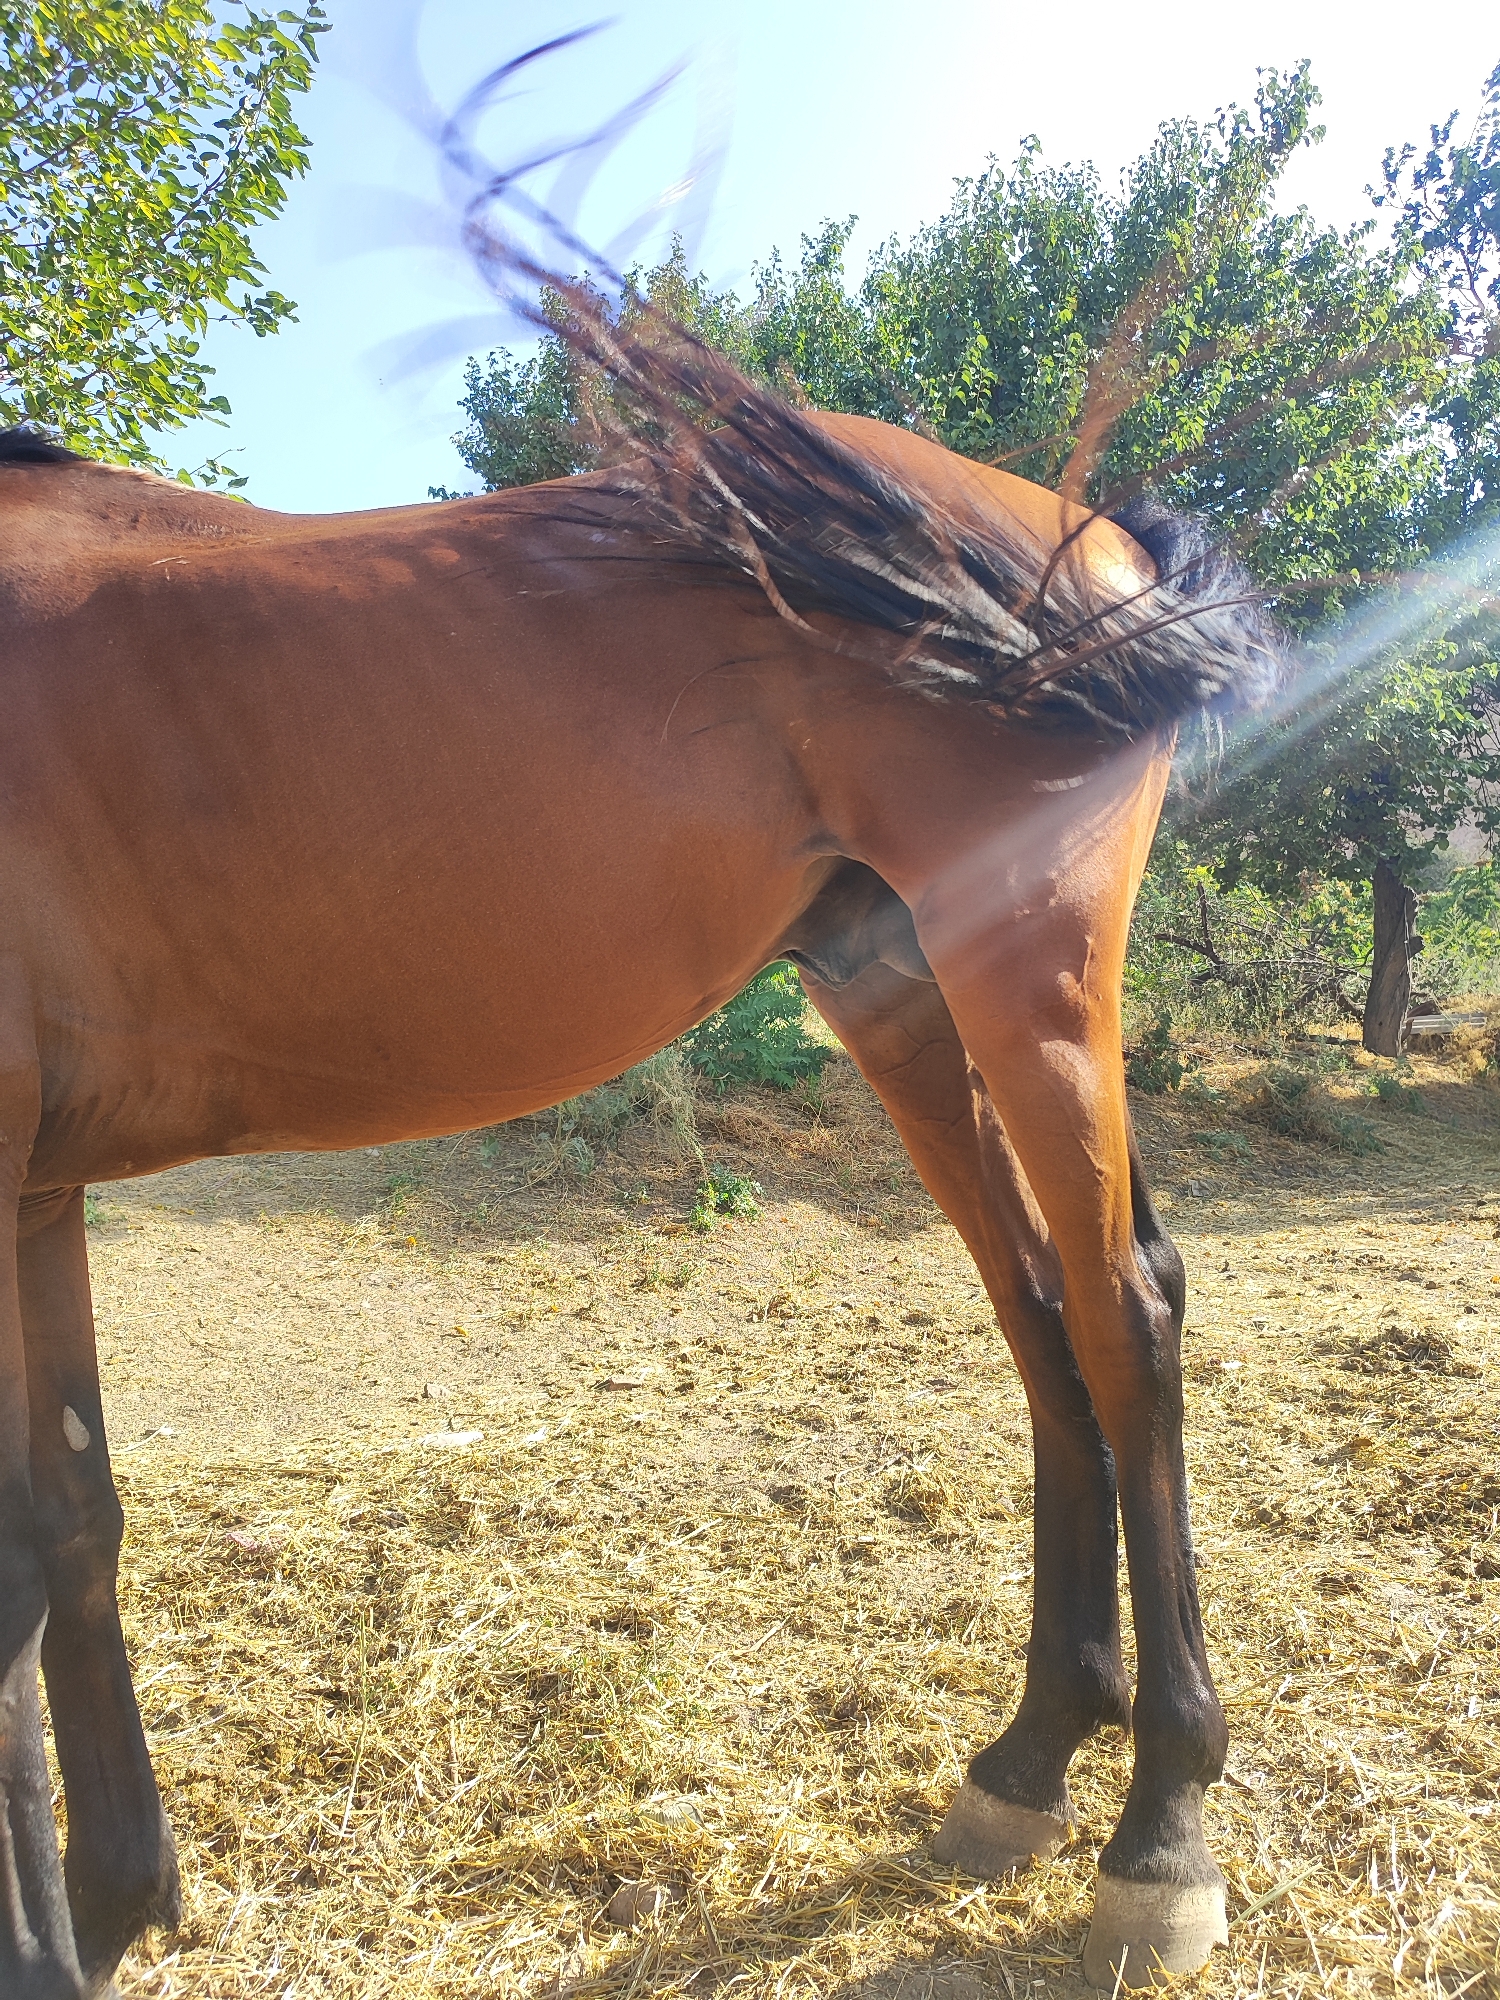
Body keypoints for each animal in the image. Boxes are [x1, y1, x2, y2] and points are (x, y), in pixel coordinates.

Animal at [0, 336, 1279, 1996]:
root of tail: (1090, 532)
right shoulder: (37, 1189)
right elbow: (70, 1519)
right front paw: (113, 1898)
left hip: (1030, 982)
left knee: (1128, 1320)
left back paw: (1162, 1832)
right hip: (901, 992)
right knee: (1043, 1315)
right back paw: (1030, 1760)